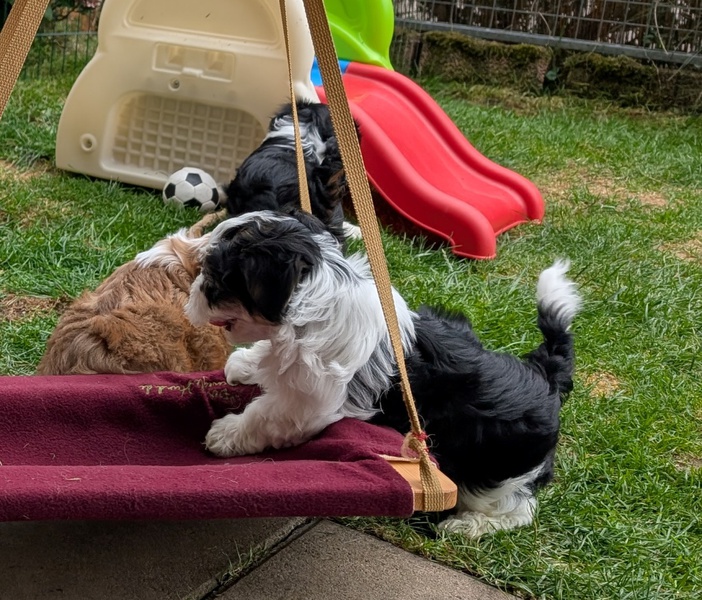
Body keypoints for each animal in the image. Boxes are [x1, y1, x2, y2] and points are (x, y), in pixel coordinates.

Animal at [184, 210, 581, 537]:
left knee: (516, 507)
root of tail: (545, 375)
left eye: (214, 279)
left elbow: (265, 416)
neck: (315, 303)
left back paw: (468, 525)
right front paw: (247, 364)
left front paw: (226, 434)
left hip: (497, 465)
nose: (192, 295)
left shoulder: (307, 401)